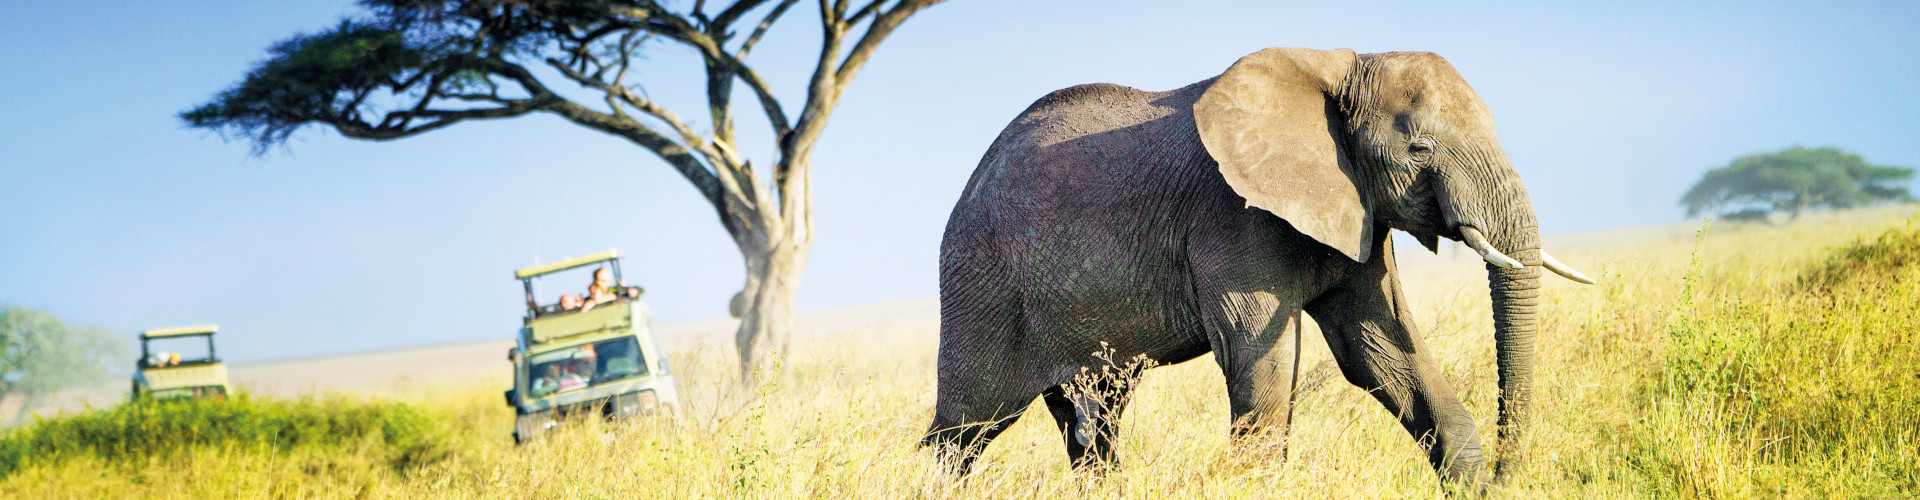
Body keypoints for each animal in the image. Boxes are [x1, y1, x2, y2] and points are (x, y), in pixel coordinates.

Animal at [921, 47, 1594, 483]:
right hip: (981, 282)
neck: (1335, 68)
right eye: (1420, 147)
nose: (1511, 472)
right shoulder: (1233, 218)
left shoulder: (1357, 212)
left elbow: (1385, 352)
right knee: (966, 426)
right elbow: (1259, 360)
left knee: (1093, 423)